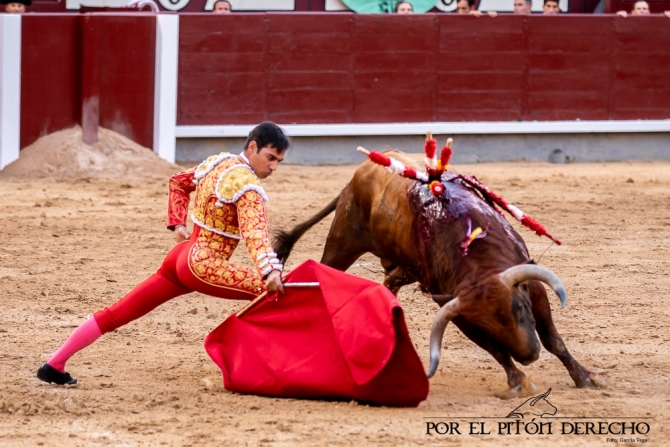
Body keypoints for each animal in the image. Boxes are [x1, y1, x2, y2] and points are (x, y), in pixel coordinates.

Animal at [276, 151, 608, 396]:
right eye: (487, 326)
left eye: (521, 309)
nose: (529, 355)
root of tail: (359, 174)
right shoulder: (458, 310)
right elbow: (495, 349)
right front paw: (519, 381)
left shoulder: (532, 286)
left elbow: (553, 339)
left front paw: (586, 377)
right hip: (343, 241)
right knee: (328, 270)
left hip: (404, 265)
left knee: (389, 281)